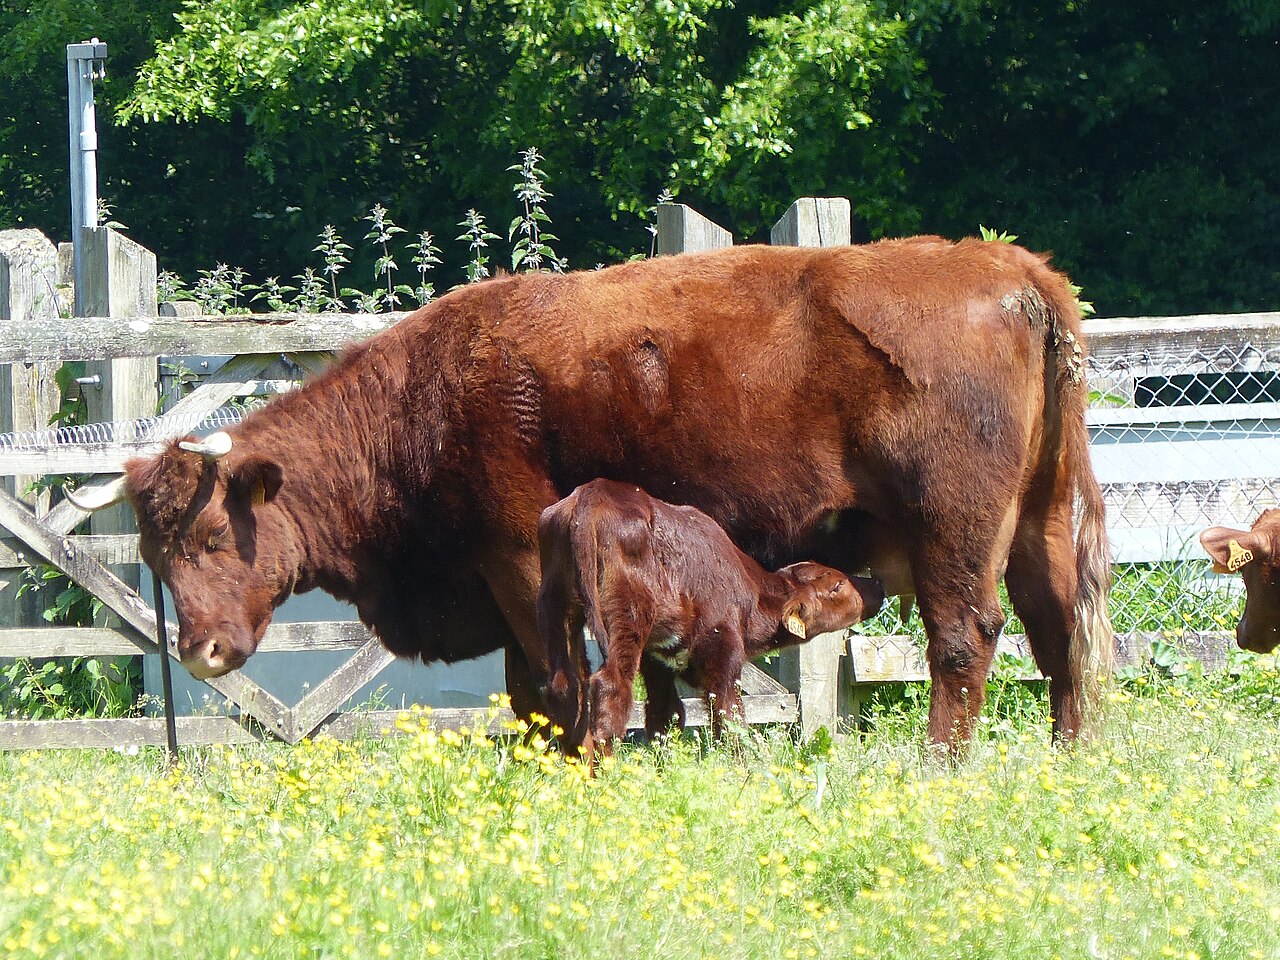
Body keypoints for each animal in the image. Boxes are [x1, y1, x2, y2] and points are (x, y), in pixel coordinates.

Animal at [537, 478, 884, 756]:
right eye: (837, 585)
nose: (876, 585)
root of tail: (591, 495)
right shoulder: (723, 653)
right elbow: (730, 719)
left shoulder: (658, 661)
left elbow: (665, 715)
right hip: (628, 615)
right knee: (612, 687)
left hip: (554, 604)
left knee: (564, 688)